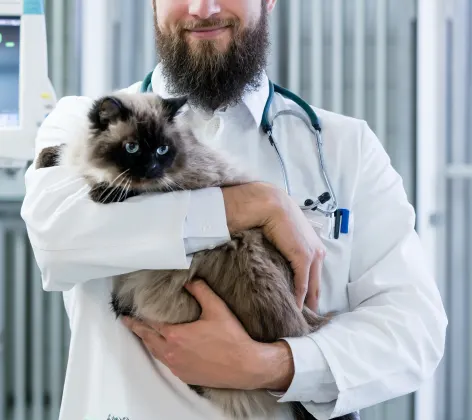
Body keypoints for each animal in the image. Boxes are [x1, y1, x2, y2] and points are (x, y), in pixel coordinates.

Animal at [36, 92, 358, 420]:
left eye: (162, 150)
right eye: (132, 148)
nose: (151, 169)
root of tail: (303, 324)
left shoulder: (181, 183)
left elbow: (131, 190)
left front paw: (103, 191)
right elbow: (62, 154)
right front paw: (46, 158)